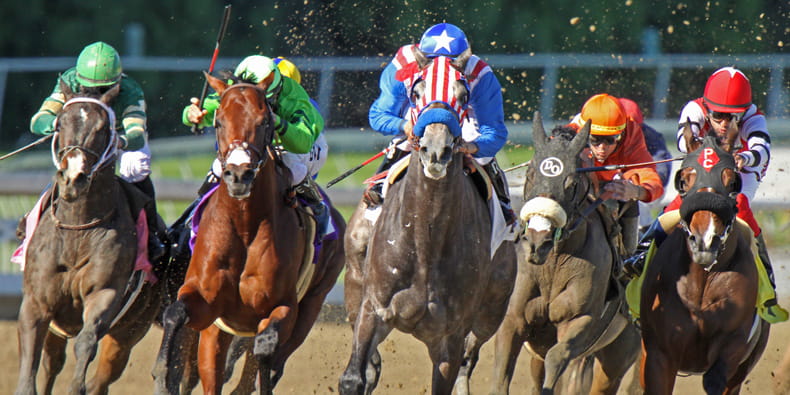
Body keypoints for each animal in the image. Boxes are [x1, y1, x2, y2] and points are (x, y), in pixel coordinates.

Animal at [15, 82, 164, 394]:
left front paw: (76, 387)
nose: (74, 177)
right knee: (52, 365)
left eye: (103, 128)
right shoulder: (37, 302)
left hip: (130, 330)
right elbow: (31, 361)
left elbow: (86, 341)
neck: (78, 230)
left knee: (101, 378)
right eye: (60, 123)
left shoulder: (105, 291)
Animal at [153, 72, 344, 395]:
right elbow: (175, 313)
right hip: (216, 334)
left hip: (312, 305)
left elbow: (266, 350)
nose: (239, 175)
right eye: (219, 121)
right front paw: (162, 373)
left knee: (269, 362)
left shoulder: (282, 308)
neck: (244, 225)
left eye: (265, 120)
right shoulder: (205, 303)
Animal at [342, 53, 520, 395]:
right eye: (416, 91)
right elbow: (354, 377)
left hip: (492, 309)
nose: (436, 149)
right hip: (355, 278)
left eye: (463, 95)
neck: (426, 238)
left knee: (470, 356)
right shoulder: (374, 308)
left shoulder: (450, 335)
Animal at [492, 113, 648, 392]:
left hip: (619, 353)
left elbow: (558, 356)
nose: (538, 240)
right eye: (530, 173)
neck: (553, 264)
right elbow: (501, 375)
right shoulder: (514, 319)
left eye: (572, 183)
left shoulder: (580, 320)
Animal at [640, 129, 772, 392]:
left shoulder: (735, 342)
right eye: (684, 180)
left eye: (732, 182)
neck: (702, 276)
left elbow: (715, 379)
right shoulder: (658, 353)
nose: (705, 240)